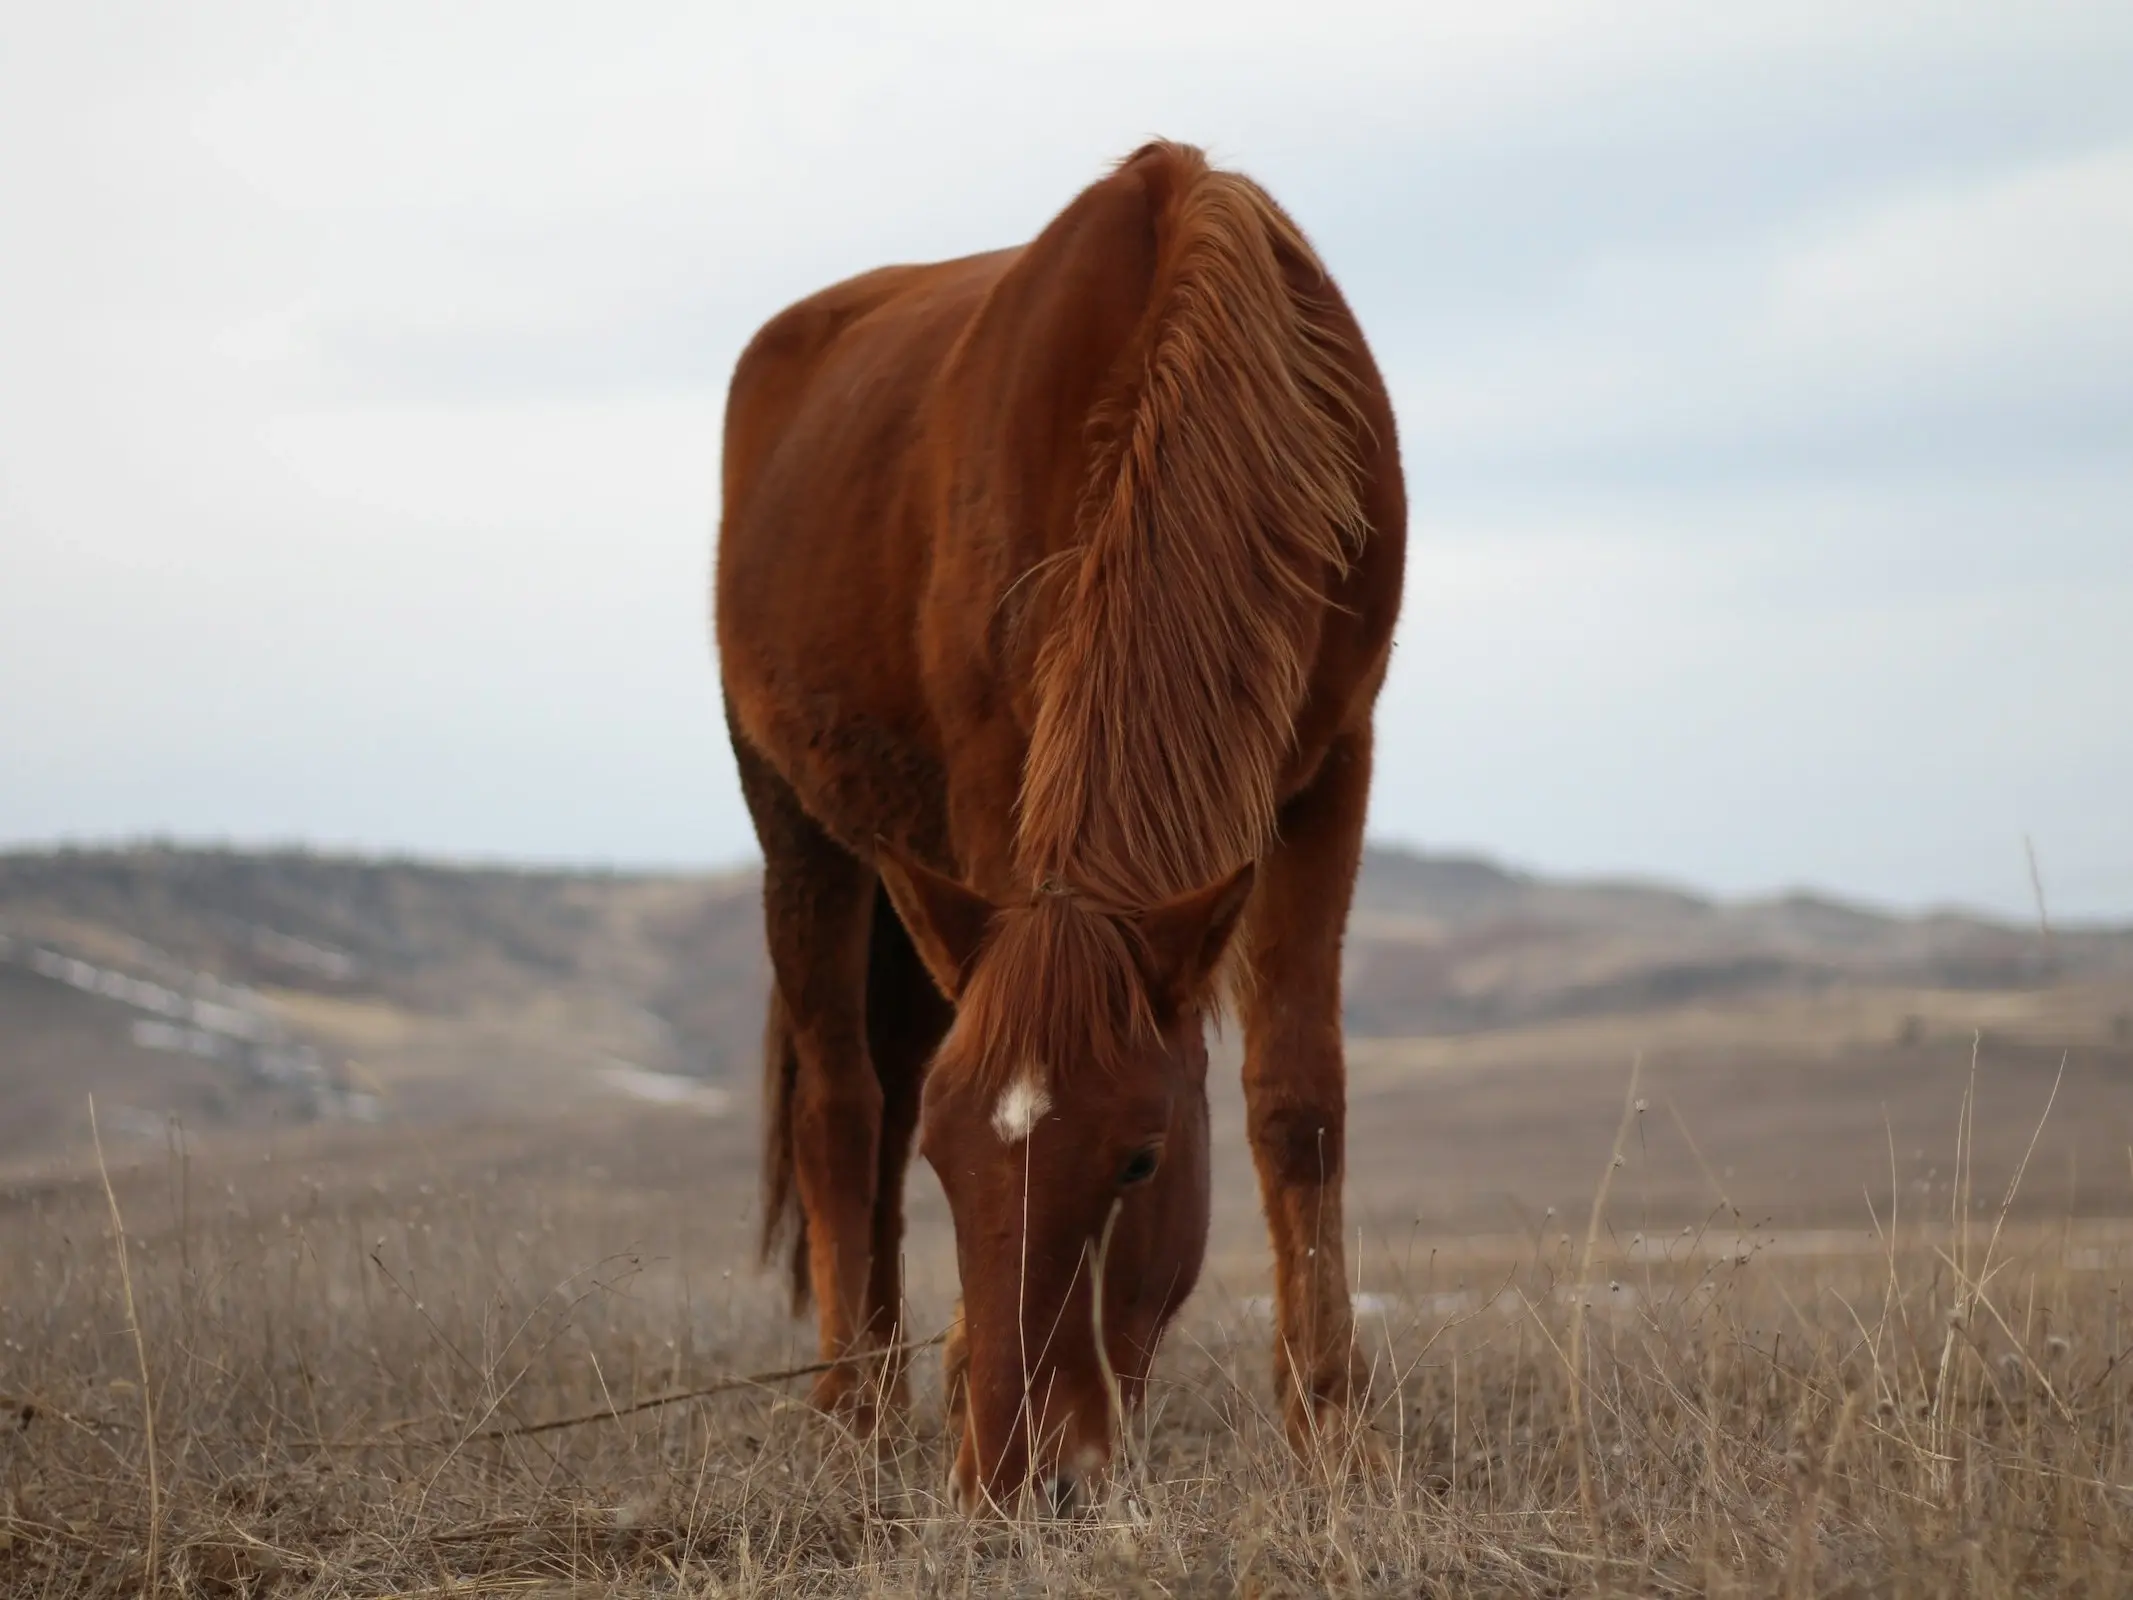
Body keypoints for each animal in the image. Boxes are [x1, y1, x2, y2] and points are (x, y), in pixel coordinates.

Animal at [716, 140, 1407, 1518]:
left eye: (1140, 1161)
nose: (1012, 1476)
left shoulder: (1331, 763)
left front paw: (1331, 1427)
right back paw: (854, 1408)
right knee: (843, 1104)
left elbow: (1298, 1095)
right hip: (795, 822)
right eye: (959, 1164)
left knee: (880, 1084)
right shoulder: (994, 776)